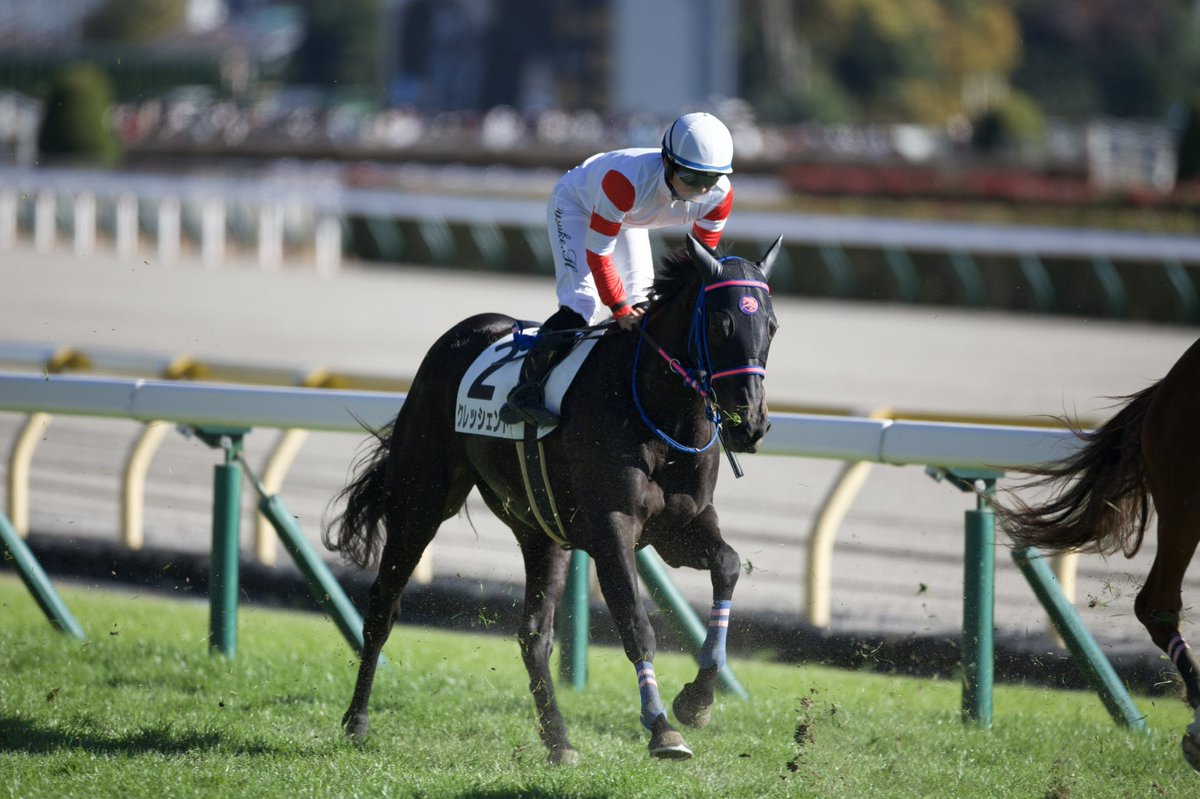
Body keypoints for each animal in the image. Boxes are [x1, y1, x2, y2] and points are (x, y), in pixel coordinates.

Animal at [323, 234, 781, 764]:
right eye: (722, 323)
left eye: (771, 326)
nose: (751, 424)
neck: (655, 408)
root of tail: (460, 334)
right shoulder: (613, 527)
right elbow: (635, 622)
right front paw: (662, 728)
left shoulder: (681, 526)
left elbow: (727, 564)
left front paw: (697, 701)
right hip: (422, 500)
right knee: (384, 605)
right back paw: (356, 720)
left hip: (541, 531)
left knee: (534, 634)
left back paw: (558, 739)